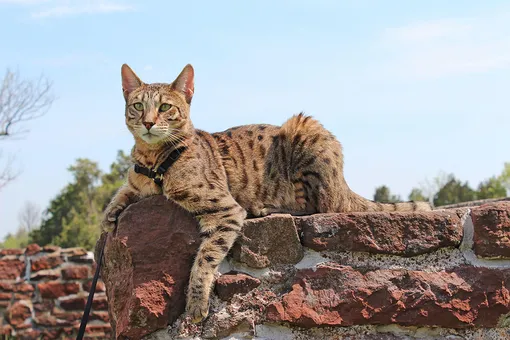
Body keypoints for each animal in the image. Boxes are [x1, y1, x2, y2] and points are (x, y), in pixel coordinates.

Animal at [100, 63, 430, 322]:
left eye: (165, 107)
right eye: (138, 106)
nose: (148, 122)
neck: (154, 161)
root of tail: (343, 181)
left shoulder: (226, 209)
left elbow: (205, 258)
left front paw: (195, 302)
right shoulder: (136, 182)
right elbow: (122, 192)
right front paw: (108, 216)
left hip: (303, 130)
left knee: (318, 206)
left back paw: (266, 208)